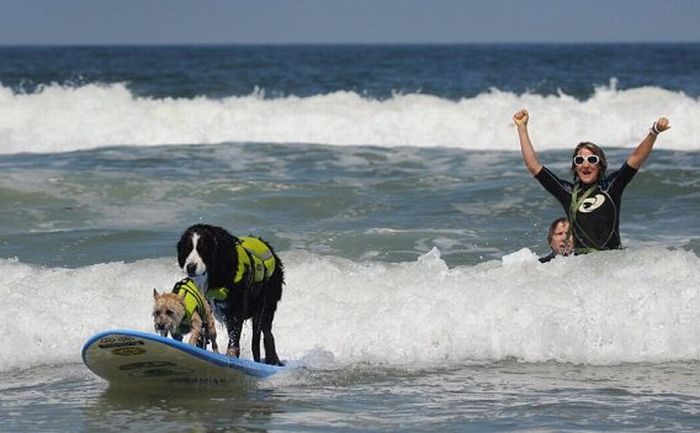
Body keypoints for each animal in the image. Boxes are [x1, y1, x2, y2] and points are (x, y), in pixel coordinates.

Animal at [178, 223, 284, 364]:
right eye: (187, 249)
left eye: (203, 250)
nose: (190, 267)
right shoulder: (204, 308)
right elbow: (202, 335)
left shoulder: (235, 310)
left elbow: (234, 339)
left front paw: (231, 356)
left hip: (265, 305)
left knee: (264, 336)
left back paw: (272, 360)